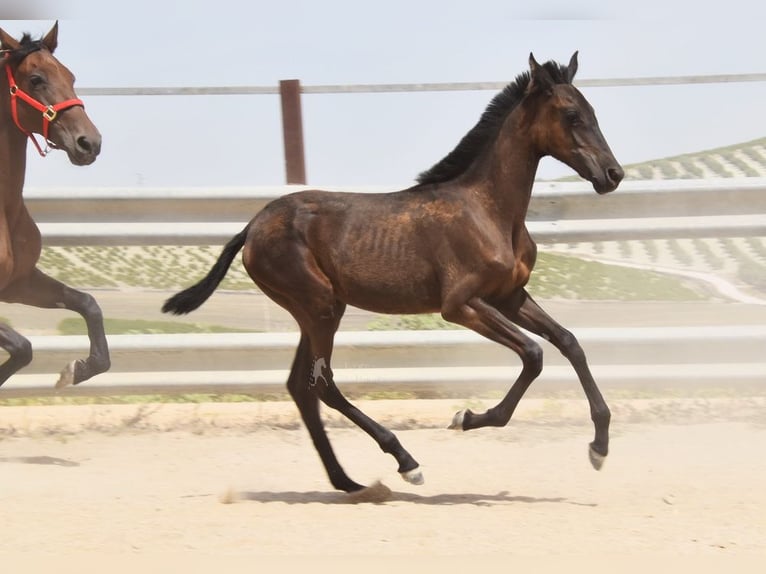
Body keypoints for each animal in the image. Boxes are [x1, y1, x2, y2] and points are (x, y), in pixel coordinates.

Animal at [0, 22, 110, 388]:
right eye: (36, 79)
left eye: (71, 76)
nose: (89, 143)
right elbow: (23, 346)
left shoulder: (20, 283)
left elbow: (88, 304)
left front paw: (77, 369)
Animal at [163, 52, 624, 493]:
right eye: (572, 115)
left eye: (594, 110)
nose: (613, 174)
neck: (487, 209)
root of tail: (253, 225)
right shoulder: (460, 305)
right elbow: (534, 353)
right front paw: (465, 417)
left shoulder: (509, 297)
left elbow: (569, 342)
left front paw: (599, 447)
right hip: (319, 306)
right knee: (321, 385)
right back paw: (406, 463)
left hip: (318, 310)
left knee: (301, 386)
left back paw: (347, 482)